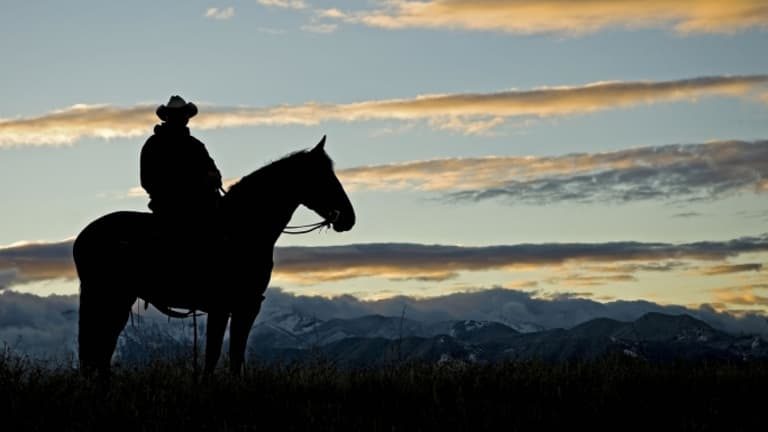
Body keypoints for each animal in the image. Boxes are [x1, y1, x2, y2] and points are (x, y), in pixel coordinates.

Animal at [73, 138, 356, 374]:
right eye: (323, 177)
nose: (349, 217)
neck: (240, 229)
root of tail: (83, 237)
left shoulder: (246, 306)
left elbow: (234, 355)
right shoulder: (223, 306)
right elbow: (214, 353)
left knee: (100, 349)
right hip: (110, 296)